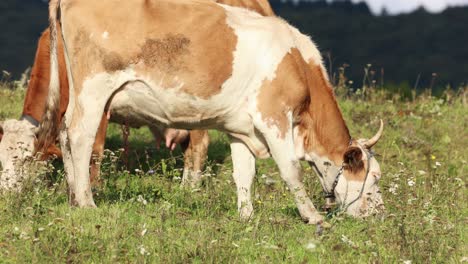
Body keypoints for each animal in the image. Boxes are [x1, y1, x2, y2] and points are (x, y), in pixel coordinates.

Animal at [38, 0, 384, 223]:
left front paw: (246, 216)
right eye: (374, 176)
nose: (379, 213)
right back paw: (86, 202)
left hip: (77, 89)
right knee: (80, 136)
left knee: (64, 132)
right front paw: (312, 216)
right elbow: (291, 170)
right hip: (95, 87)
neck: (297, 63)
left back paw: (72, 197)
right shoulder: (273, 116)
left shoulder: (241, 127)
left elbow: (244, 172)